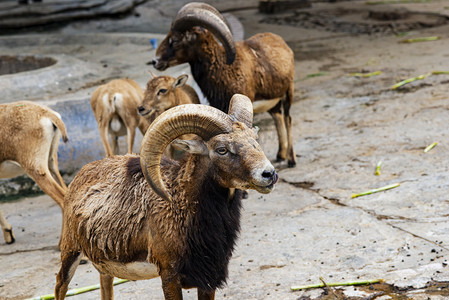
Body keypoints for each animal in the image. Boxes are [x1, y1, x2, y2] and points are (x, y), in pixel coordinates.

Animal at [152, 1, 296, 166]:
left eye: (175, 40)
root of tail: (282, 43)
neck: (224, 67)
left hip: (288, 92)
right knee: (278, 117)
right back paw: (280, 155)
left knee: (288, 119)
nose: (155, 61)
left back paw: (291, 160)